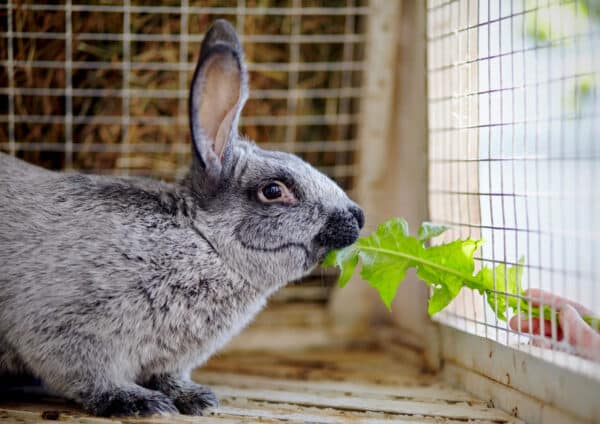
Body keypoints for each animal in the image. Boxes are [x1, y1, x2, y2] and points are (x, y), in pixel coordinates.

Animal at [0, 19, 366, 418]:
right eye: (273, 190)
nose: (358, 218)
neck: (204, 242)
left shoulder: (166, 359)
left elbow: (168, 376)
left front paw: (196, 397)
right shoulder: (68, 334)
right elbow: (91, 379)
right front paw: (139, 402)